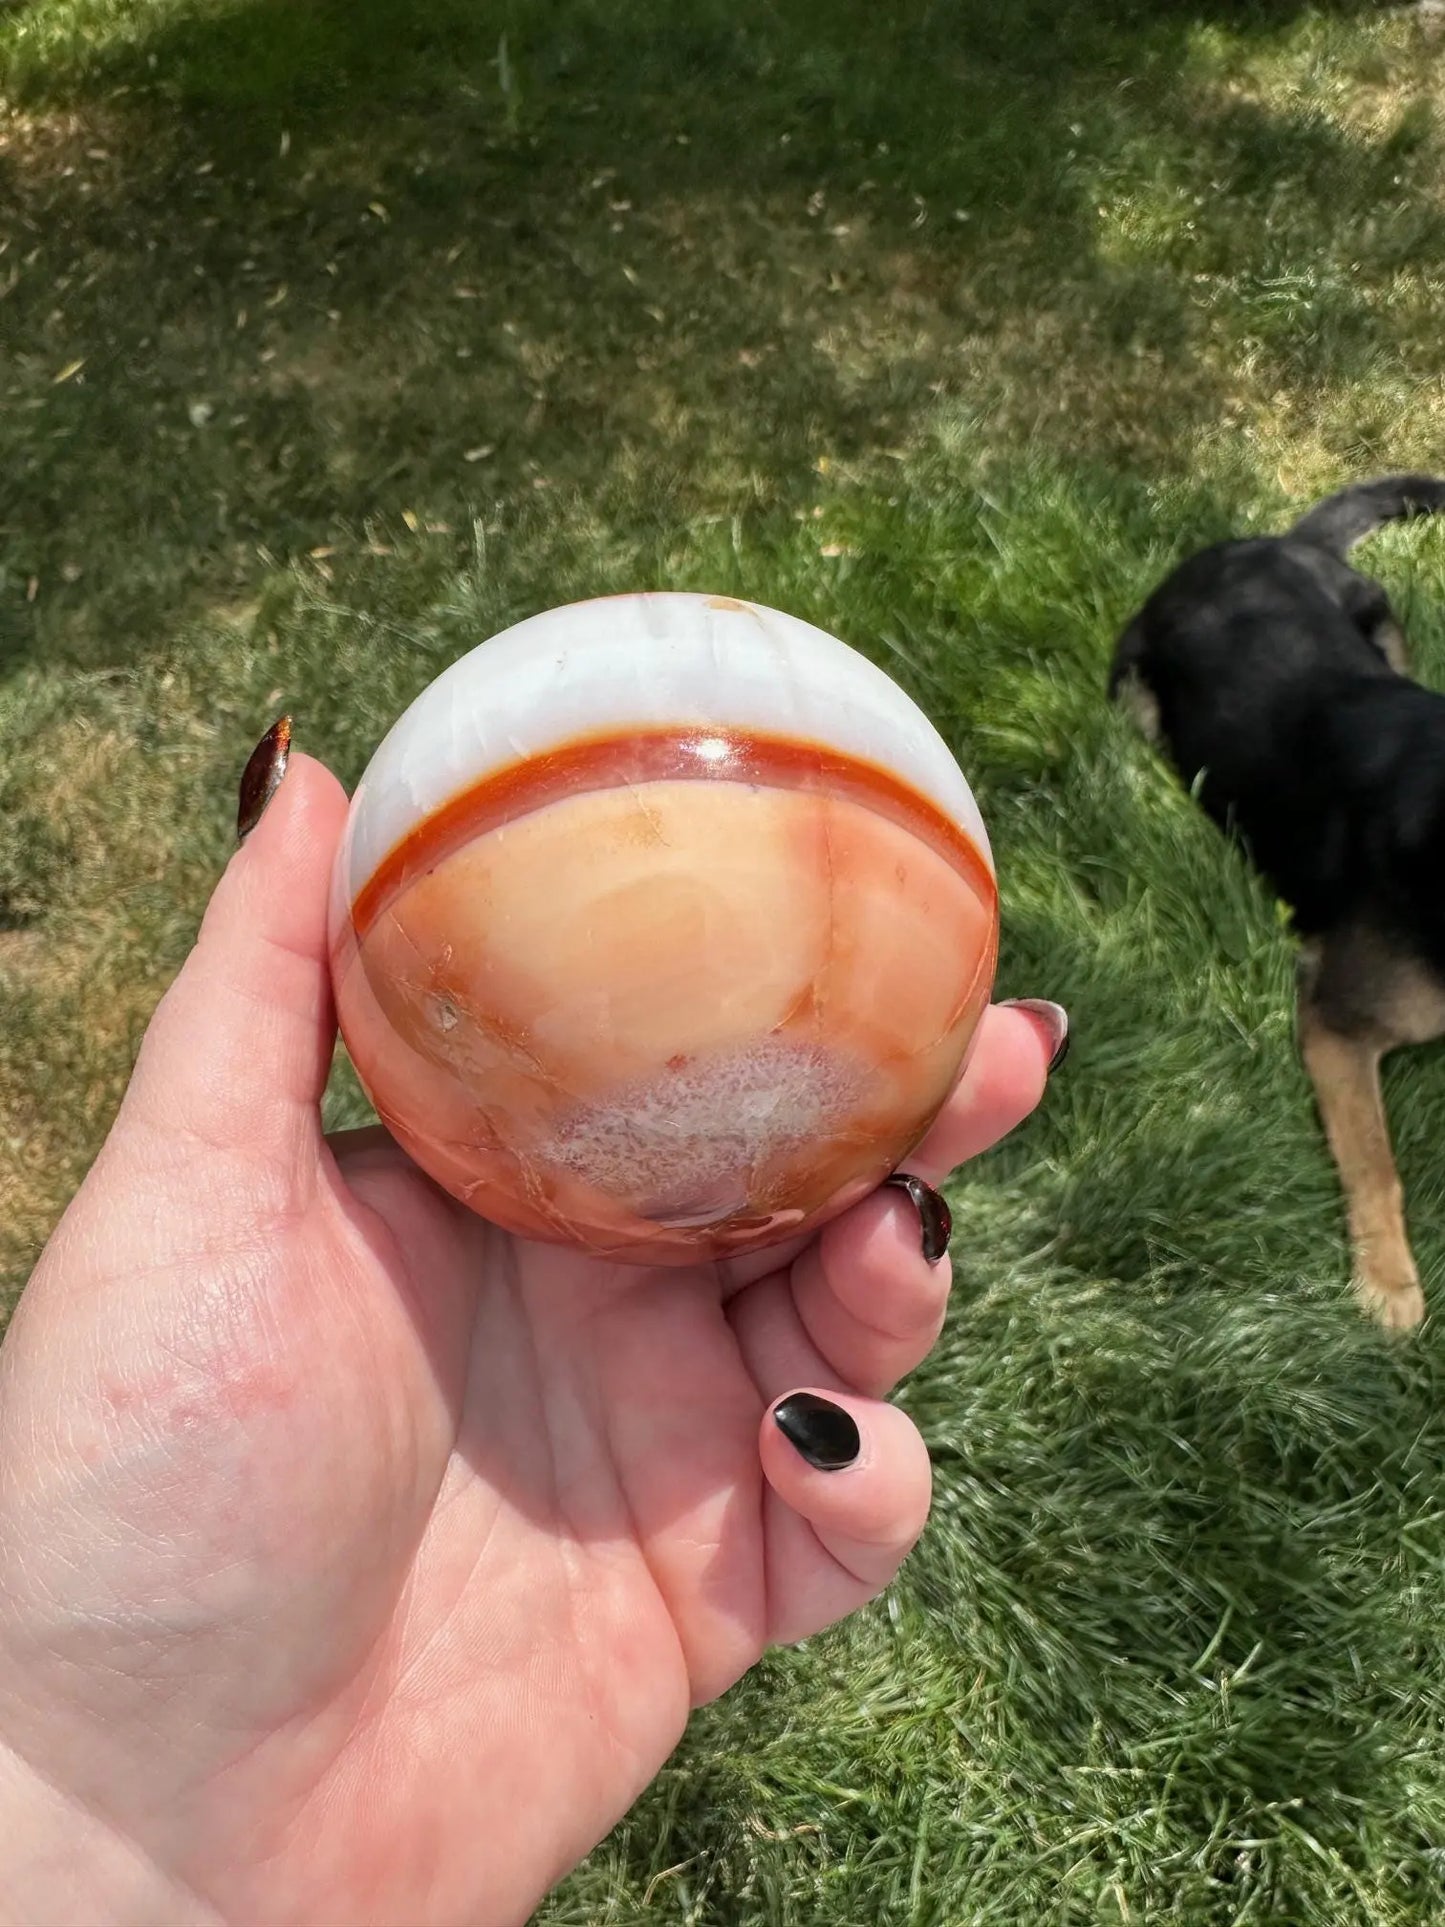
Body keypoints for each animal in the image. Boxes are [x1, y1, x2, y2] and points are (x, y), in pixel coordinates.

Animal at [1117, 474, 1445, 1333]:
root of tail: (1271, 542)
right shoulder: (1336, 1025)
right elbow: (1377, 1163)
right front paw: (1389, 1281)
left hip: (1385, 628)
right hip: (1134, 701)